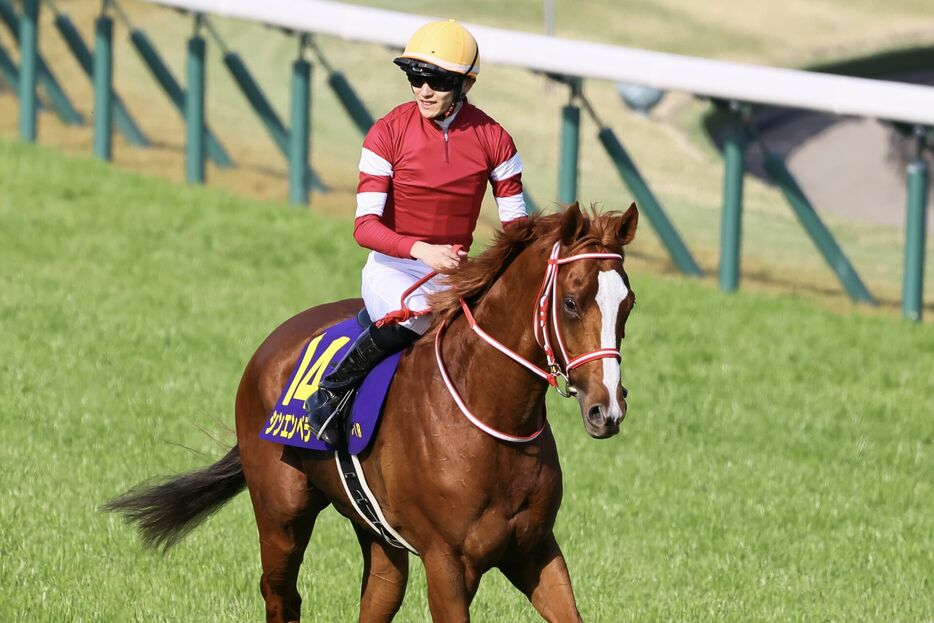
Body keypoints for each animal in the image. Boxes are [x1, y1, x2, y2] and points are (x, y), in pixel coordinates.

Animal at [104, 202, 644, 620]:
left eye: (628, 304)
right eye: (571, 302)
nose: (607, 409)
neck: (492, 419)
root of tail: (273, 342)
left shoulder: (534, 549)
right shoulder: (448, 564)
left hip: (378, 535)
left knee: (376, 596)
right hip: (281, 513)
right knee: (280, 594)